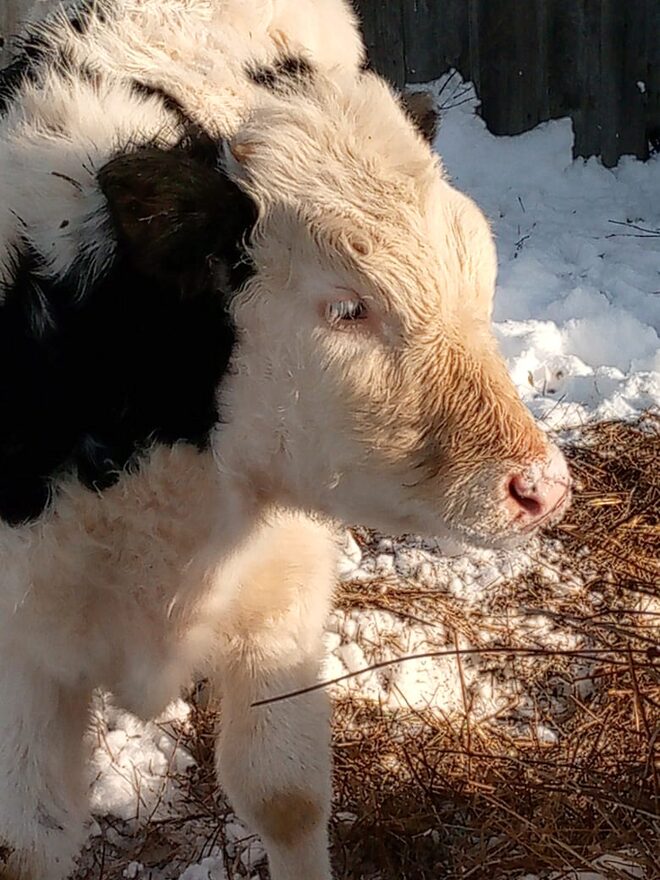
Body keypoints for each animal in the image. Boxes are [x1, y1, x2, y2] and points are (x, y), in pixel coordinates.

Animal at [0, 1, 568, 880]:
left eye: (478, 274)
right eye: (347, 308)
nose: (540, 484)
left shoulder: (281, 592)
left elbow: (284, 795)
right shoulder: (20, 646)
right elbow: (31, 840)